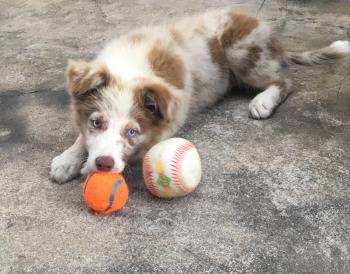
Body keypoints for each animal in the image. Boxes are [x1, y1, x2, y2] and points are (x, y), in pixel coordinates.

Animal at [50, 8, 348, 183]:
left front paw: (87, 167)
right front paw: (68, 160)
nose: (103, 163)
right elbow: (82, 137)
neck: (131, 68)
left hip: (241, 50)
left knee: (285, 81)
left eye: (132, 132)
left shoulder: (173, 116)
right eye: (96, 122)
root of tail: (275, 39)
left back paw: (263, 101)